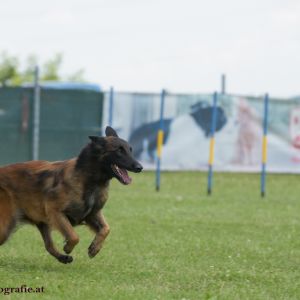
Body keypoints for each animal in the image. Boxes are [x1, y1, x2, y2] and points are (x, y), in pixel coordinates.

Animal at [0, 126, 143, 262]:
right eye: (119, 150)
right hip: (6, 227)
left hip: (41, 224)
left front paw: (95, 247)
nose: (140, 167)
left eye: (130, 150)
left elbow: (106, 228)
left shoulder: (93, 213)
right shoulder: (55, 211)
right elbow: (74, 236)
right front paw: (68, 247)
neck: (90, 181)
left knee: (49, 245)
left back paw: (63, 258)